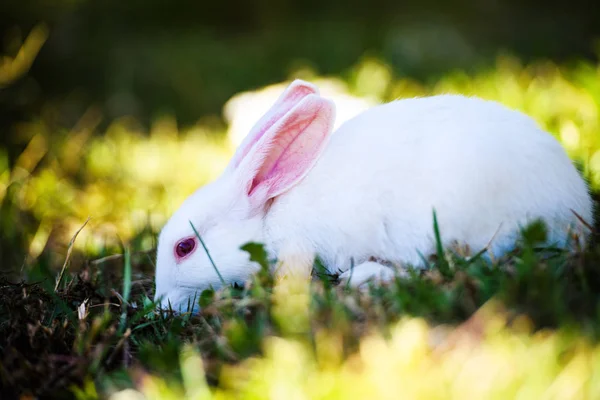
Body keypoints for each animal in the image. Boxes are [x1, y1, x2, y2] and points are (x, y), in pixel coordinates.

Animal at [152, 79, 592, 312]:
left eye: (185, 247)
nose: (160, 304)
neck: (270, 216)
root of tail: (574, 207)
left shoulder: (298, 247)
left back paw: (363, 276)